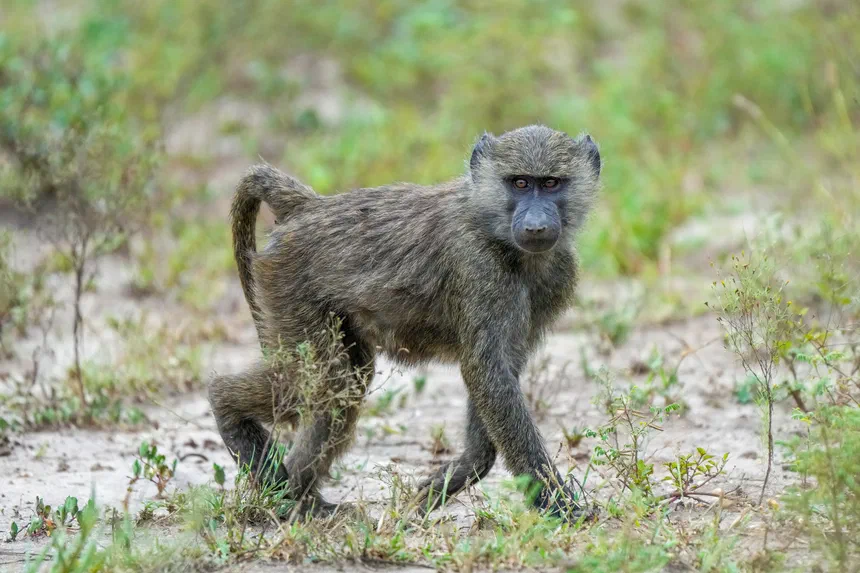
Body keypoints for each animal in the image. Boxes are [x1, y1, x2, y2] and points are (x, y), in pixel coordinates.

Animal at [208, 125, 602, 519]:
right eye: (519, 183)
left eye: (550, 183)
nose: (536, 226)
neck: (497, 231)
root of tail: (310, 207)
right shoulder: (478, 268)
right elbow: (487, 374)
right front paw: (561, 507)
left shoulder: (554, 280)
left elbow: (498, 373)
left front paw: (452, 478)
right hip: (288, 286)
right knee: (326, 382)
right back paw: (234, 418)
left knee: (346, 384)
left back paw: (302, 500)